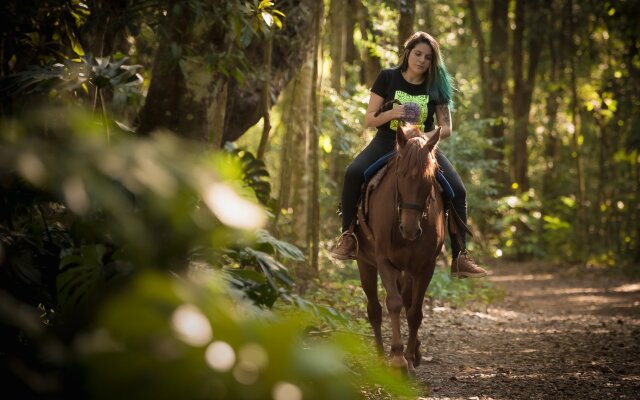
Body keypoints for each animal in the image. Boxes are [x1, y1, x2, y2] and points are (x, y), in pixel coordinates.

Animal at [356, 123, 444, 374]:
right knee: (375, 309)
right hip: (364, 262)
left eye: (430, 178)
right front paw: (397, 358)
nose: (410, 229)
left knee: (406, 300)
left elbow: (414, 311)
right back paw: (380, 356)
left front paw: (410, 356)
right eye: (400, 175)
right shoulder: (384, 260)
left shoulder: (426, 266)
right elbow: (393, 304)